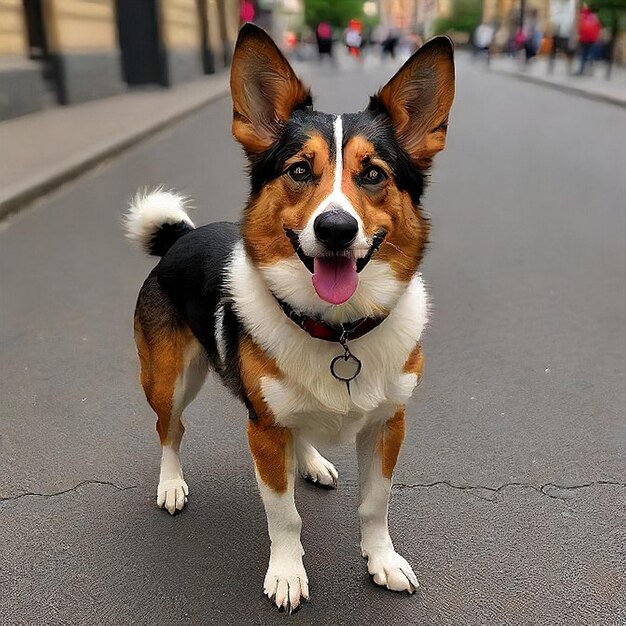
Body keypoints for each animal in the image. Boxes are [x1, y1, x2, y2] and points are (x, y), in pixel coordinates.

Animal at [123, 23, 454, 608]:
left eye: (373, 175)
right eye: (300, 170)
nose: (336, 229)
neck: (337, 329)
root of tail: (180, 236)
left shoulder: (388, 425)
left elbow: (375, 505)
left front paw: (382, 559)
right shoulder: (263, 432)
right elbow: (284, 517)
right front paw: (286, 573)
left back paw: (312, 461)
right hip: (168, 378)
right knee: (170, 428)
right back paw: (170, 483)